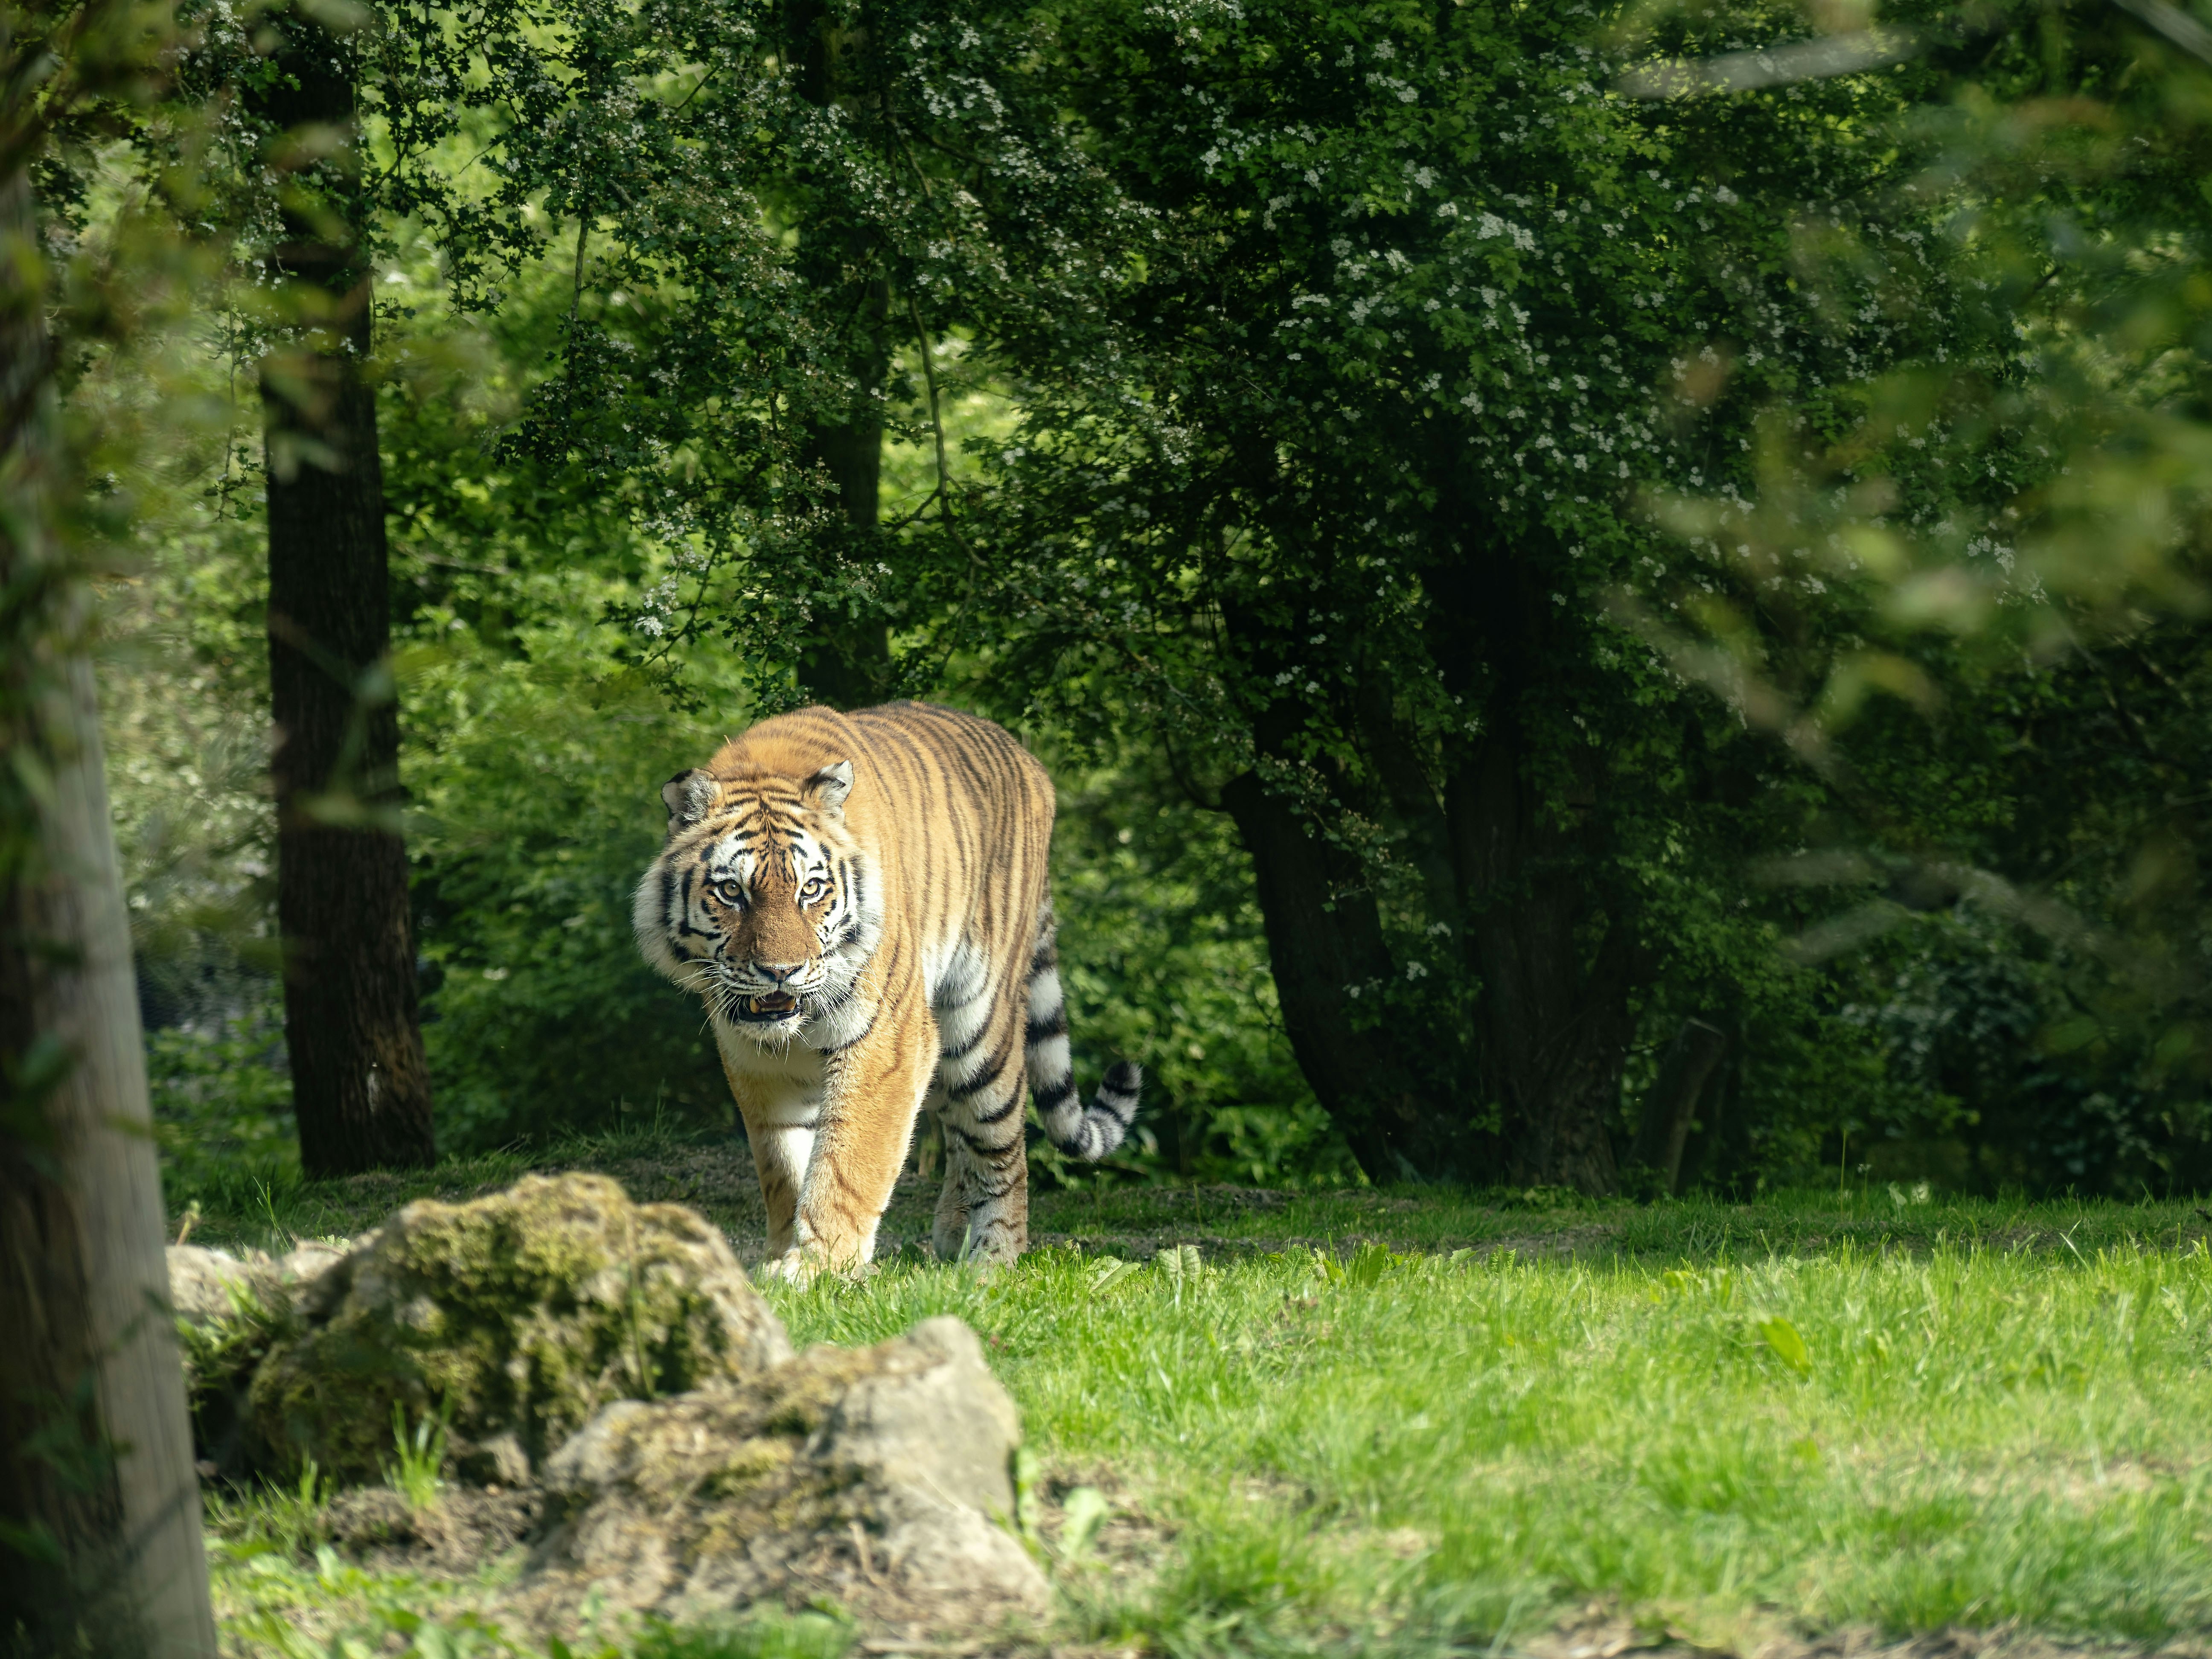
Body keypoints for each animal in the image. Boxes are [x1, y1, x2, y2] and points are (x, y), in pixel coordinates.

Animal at [633, 700, 1142, 1277]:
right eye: (731, 892)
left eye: (811, 889)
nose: (782, 971)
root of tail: (1030, 761)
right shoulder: (756, 1062)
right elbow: (784, 1168)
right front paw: (780, 1257)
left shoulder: (888, 1042)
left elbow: (849, 1161)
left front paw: (817, 1268)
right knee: (961, 1134)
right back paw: (953, 1238)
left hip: (978, 1027)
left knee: (1002, 1143)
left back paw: (992, 1261)